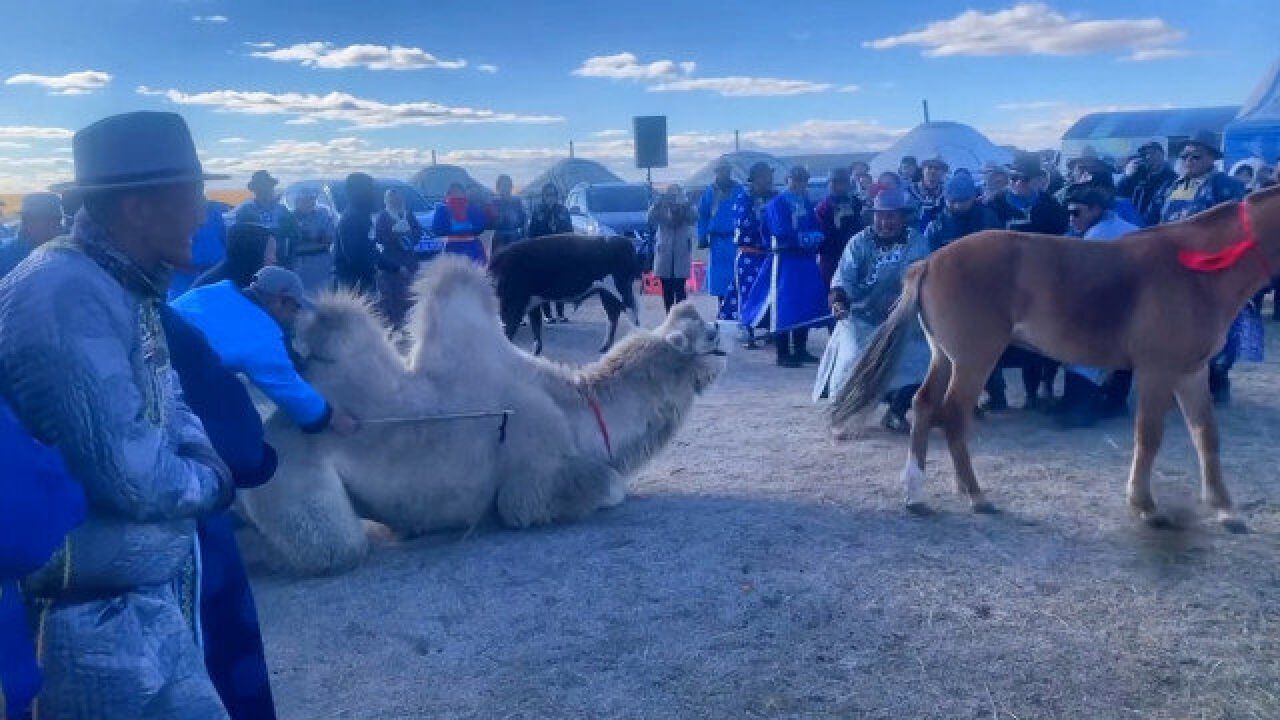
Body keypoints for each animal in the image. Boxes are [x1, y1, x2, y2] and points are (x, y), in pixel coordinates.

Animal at [235, 254, 727, 573]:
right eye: (703, 335)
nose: (722, 322)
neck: (577, 411)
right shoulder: (531, 487)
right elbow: (608, 487)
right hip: (293, 482)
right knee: (335, 549)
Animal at [491, 233, 645, 353]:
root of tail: (625, 241)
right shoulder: (532, 301)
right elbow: (536, 329)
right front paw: (535, 352)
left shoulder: (515, 303)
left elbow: (511, 329)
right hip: (606, 293)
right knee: (613, 316)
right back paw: (604, 348)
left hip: (621, 289)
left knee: (632, 315)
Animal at [834, 183, 1274, 532]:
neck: (1193, 270)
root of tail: (929, 261)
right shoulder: (1157, 371)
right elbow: (1149, 436)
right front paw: (1146, 506)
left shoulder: (1191, 372)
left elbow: (1207, 436)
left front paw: (1225, 510)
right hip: (975, 360)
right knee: (954, 413)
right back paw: (976, 495)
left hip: (944, 357)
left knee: (925, 405)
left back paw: (918, 493)